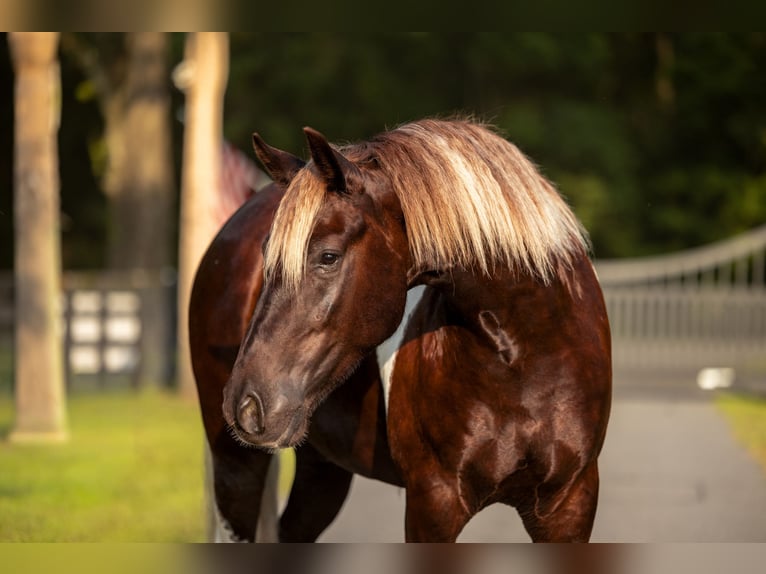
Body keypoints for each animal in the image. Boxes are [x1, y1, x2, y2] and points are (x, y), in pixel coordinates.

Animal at [190, 118, 612, 542]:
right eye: (266, 257)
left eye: (328, 256)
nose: (245, 404)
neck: (524, 352)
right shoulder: (434, 502)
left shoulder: (569, 506)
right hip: (237, 472)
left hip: (321, 469)